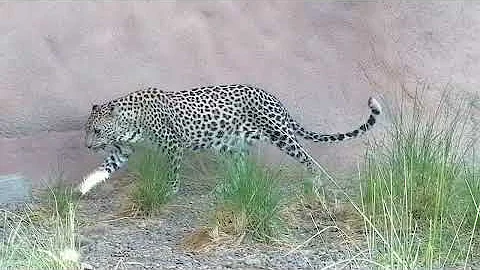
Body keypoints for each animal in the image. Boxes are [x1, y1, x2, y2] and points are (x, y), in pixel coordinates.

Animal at [77, 84, 380, 194]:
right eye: (88, 130)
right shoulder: (122, 150)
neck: (130, 122)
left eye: (97, 131)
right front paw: (84, 187)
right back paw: (230, 187)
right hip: (234, 145)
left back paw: (315, 181)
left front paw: (170, 190)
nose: (87, 146)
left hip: (280, 134)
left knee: (306, 155)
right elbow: (104, 167)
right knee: (242, 169)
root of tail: (275, 100)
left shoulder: (173, 145)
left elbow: (173, 171)